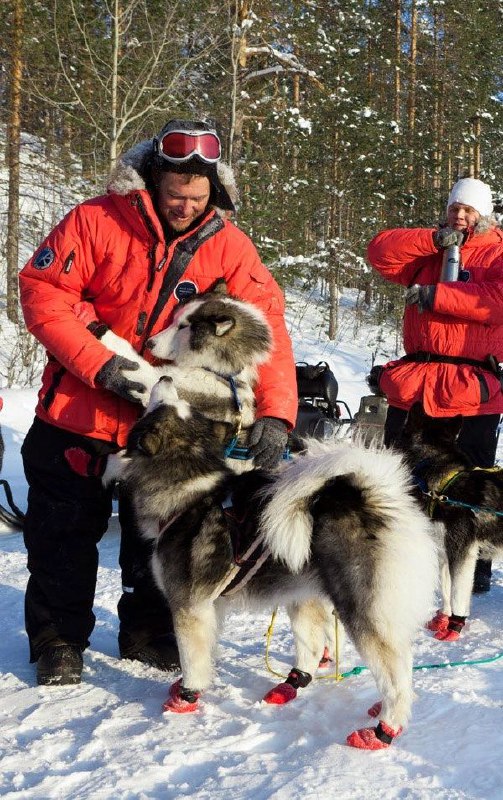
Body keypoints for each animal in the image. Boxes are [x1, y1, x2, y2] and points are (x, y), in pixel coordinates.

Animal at [106, 378, 438, 748]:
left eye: (161, 405)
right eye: (178, 404)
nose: (165, 379)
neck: (190, 492)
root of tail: (372, 496)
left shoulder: (188, 607)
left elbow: (191, 659)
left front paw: (185, 697)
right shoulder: (211, 607)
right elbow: (207, 652)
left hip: (362, 613)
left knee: (397, 674)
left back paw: (384, 729)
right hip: (306, 598)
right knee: (327, 650)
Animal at [400, 404, 502, 640]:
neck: (443, 486)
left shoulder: (462, 552)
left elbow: (457, 593)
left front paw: (456, 625)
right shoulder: (443, 550)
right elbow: (446, 589)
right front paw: (443, 618)